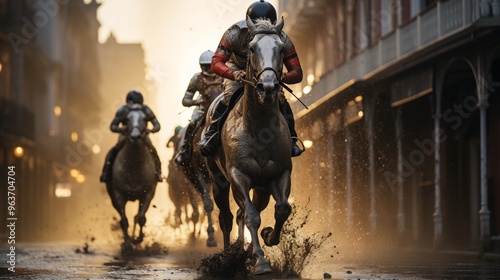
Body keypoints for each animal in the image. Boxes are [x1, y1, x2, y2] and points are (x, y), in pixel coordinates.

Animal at [202, 17, 292, 274]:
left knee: (248, 210)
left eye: (281, 49)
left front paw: (268, 236)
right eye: (251, 48)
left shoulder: (279, 173)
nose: (268, 87)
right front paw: (260, 262)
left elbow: (282, 208)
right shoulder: (238, 174)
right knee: (227, 216)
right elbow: (251, 216)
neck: (259, 128)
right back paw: (227, 254)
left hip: (261, 186)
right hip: (218, 179)